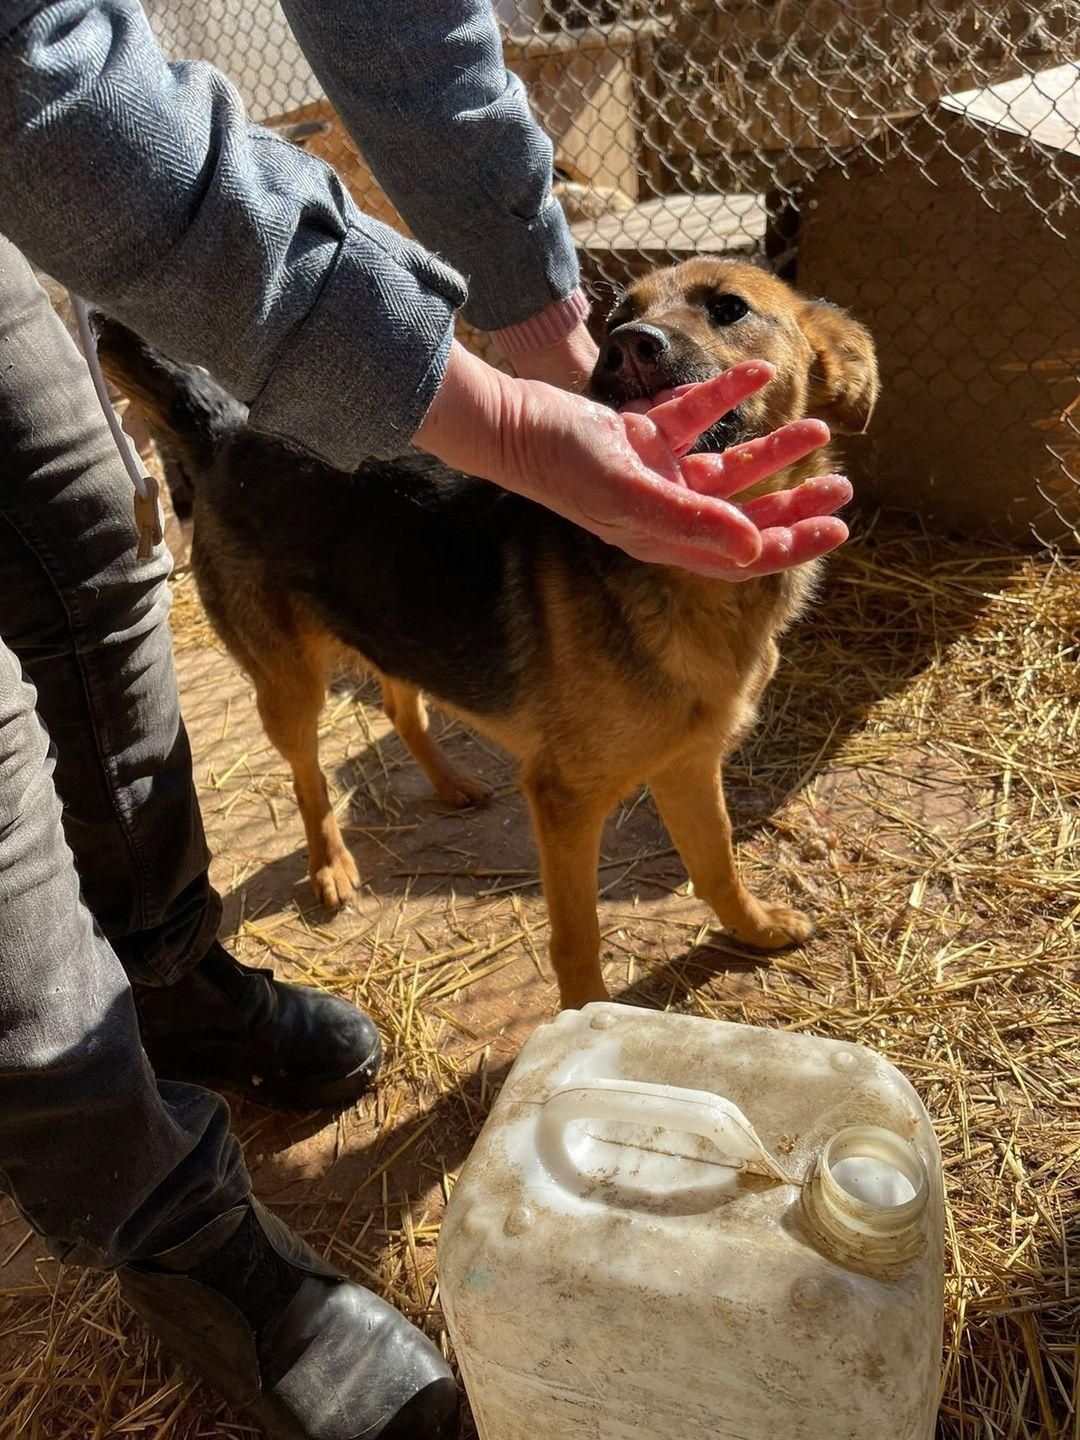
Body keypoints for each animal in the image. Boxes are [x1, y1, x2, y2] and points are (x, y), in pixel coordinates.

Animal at [95, 259, 881, 1008]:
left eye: (729, 309)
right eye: (619, 316)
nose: (625, 349)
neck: (691, 582)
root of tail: (229, 429)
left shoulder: (689, 765)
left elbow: (716, 865)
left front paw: (756, 928)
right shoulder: (566, 801)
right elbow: (578, 939)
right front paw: (583, 1019)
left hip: (394, 627)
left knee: (401, 707)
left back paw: (450, 784)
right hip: (290, 684)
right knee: (308, 774)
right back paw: (331, 864)